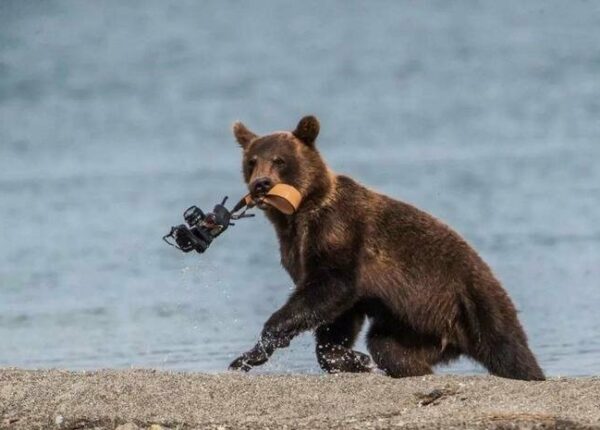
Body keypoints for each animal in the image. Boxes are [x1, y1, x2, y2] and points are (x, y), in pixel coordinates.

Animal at [227, 114, 548, 380]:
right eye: (252, 161)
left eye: (279, 160)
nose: (261, 184)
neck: (300, 213)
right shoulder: (298, 249)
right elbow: (338, 314)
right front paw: (354, 359)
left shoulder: (339, 233)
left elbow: (331, 287)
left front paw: (259, 345)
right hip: (415, 324)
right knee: (389, 348)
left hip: (474, 299)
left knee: (507, 349)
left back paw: (530, 372)